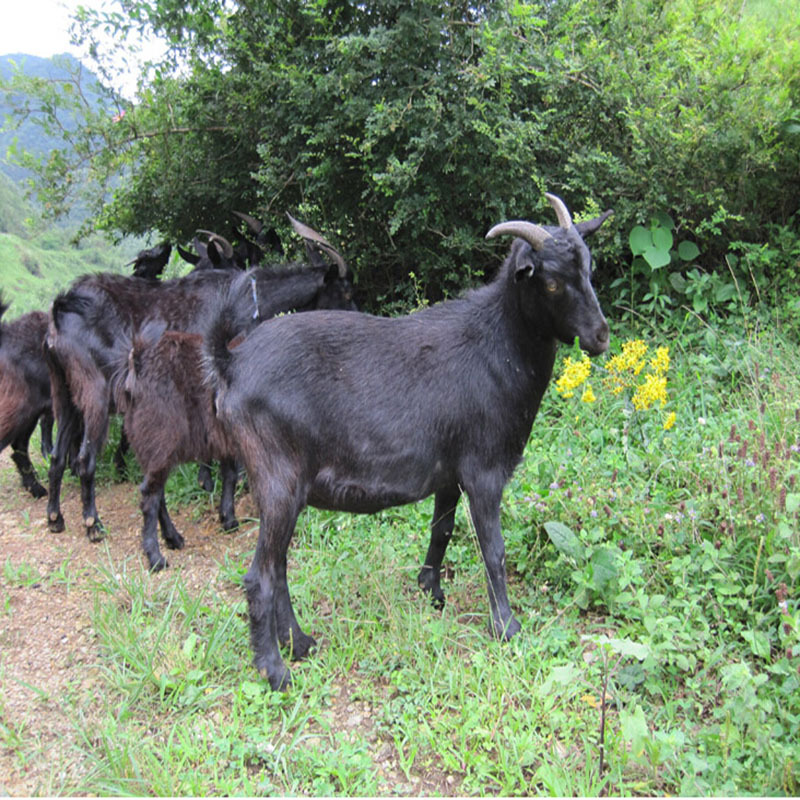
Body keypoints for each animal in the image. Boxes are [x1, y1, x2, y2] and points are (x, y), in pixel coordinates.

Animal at [44, 220, 356, 544]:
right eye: (346, 292)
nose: (359, 315)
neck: (248, 299)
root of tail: (62, 309)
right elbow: (228, 458)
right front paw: (227, 512)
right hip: (96, 394)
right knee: (86, 459)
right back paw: (94, 524)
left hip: (64, 394)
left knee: (57, 456)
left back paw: (56, 518)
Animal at [205, 192, 612, 688]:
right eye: (551, 283)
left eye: (589, 267)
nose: (600, 336)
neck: (497, 346)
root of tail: (230, 363)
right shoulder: (483, 470)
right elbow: (493, 550)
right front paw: (507, 628)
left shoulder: (448, 473)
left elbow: (442, 531)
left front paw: (431, 591)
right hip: (277, 477)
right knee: (261, 575)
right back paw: (276, 669)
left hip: (285, 489)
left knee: (278, 565)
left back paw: (300, 644)